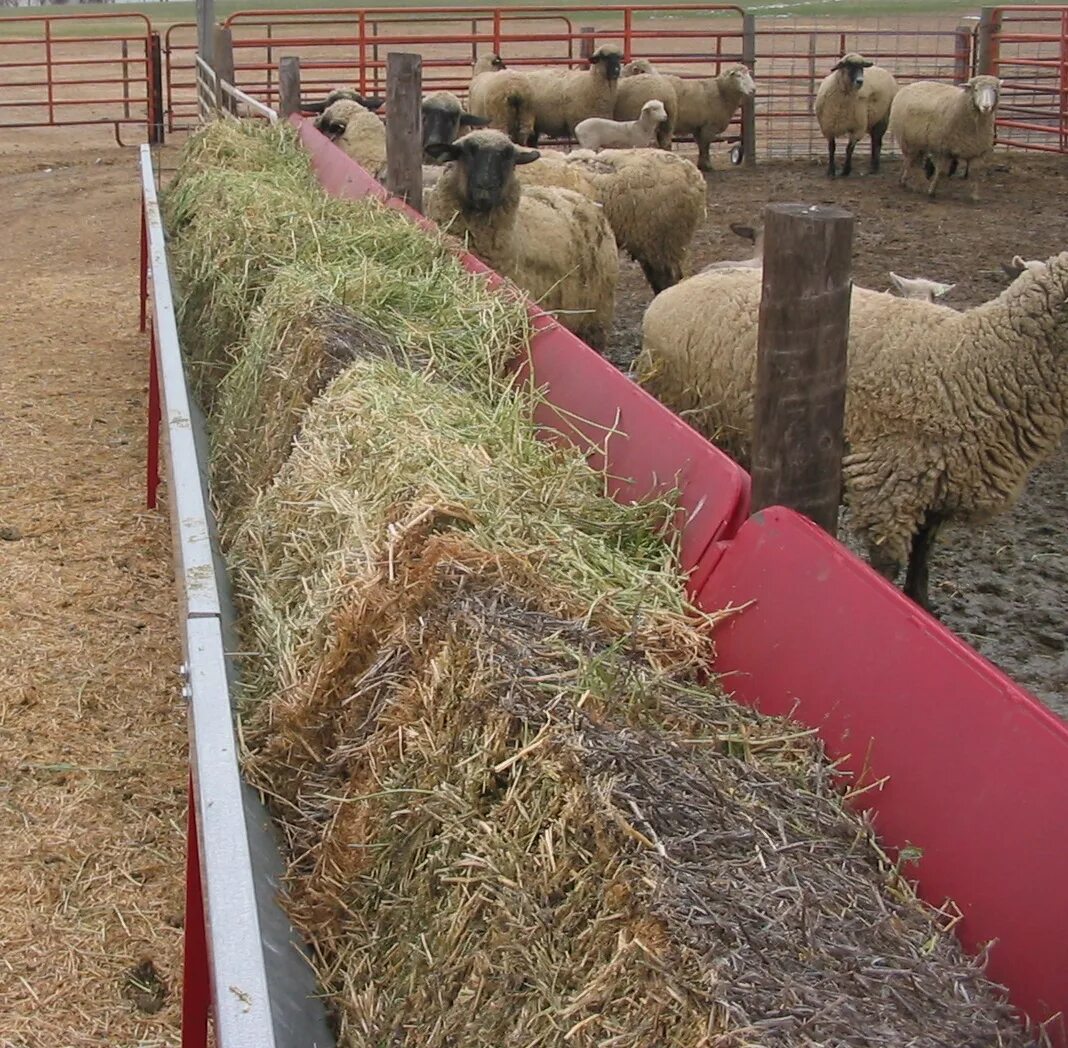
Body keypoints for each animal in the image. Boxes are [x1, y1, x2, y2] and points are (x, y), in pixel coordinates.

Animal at [422, 130, 619, 348]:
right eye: (466, 152)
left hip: (594, 322)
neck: (515, 237)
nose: (485, 189)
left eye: (509, 158)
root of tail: (582, 198)